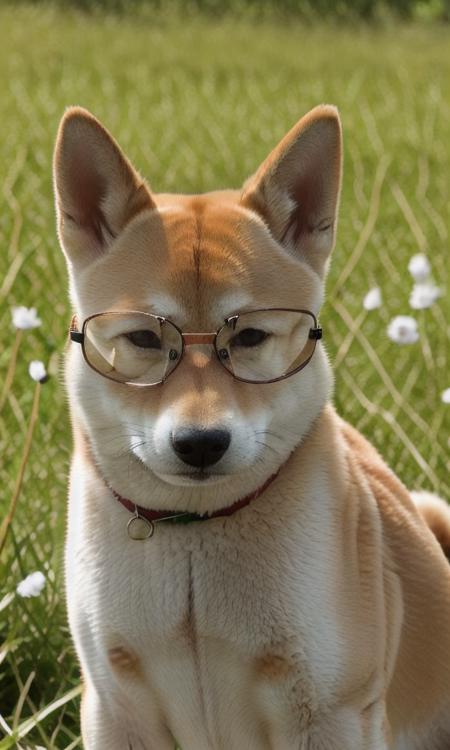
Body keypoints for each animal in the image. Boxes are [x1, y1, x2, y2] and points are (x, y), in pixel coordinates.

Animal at [53, 106, 450, 750]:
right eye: (143, 338)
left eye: (250, 337)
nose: (200, 444)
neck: (197, 533)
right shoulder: (115, 704)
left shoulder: (330, 711)